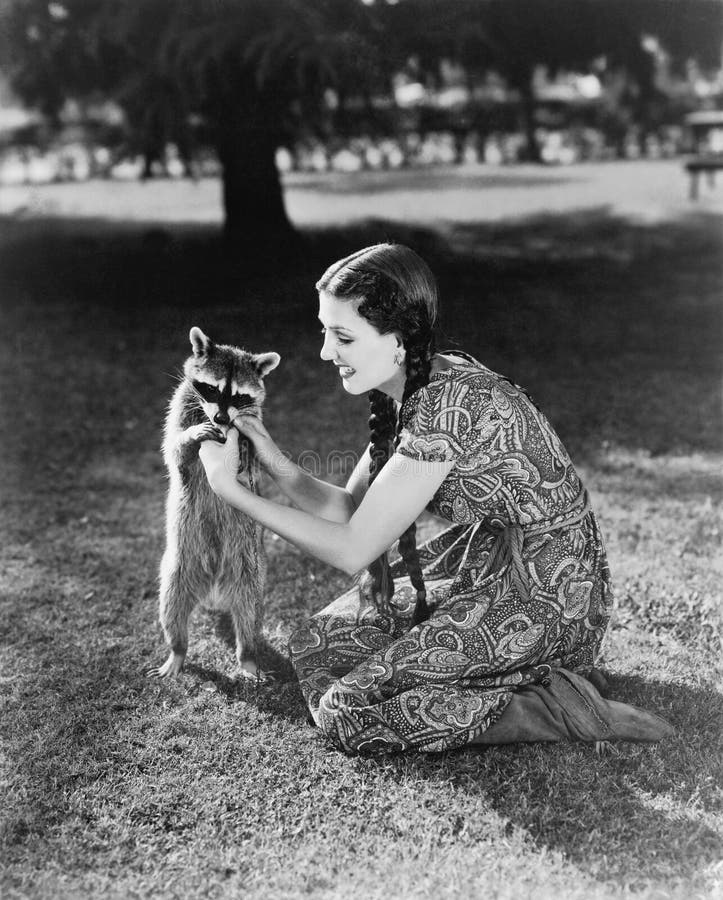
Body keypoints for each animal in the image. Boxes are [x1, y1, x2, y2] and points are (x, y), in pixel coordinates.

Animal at [146, 326, 280, 680]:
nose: (219, 417)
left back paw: (247, 655)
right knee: (172, 606)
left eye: (238, 396)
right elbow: (174, 451)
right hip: (179, 566)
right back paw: (177, 650)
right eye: (212, 389)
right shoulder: (179, 408)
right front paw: (191, 435)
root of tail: (214, 583)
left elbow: (253, 460)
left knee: (249, 613)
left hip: (250, 569)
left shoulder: (253, 424)